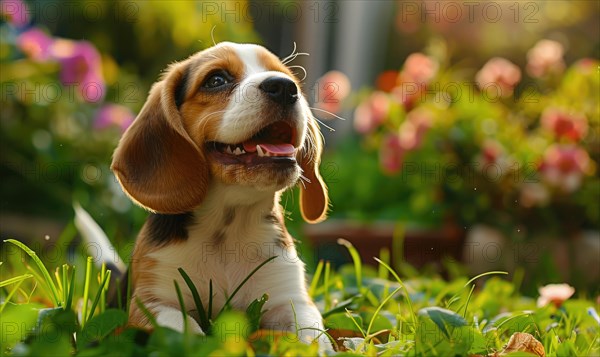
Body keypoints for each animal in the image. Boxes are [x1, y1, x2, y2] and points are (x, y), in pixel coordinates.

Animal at [110, 41, 330, 348]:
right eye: (216, 80)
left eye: (289, 79)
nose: (285, 87)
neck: (228, 228)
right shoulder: (154, 302)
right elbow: (184, 330)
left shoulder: (291, 300)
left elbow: (312, 336)